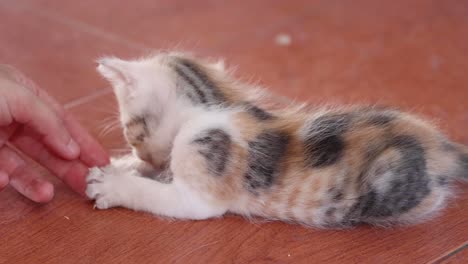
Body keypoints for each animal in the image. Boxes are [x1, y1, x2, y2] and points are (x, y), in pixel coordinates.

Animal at [86, 51, 466, 227]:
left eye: (131, 132)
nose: (139, 154)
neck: (211, 104)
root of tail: (442, 147)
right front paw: (119, 165)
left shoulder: (201, 177)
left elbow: (164, 195)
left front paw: (113, 184)